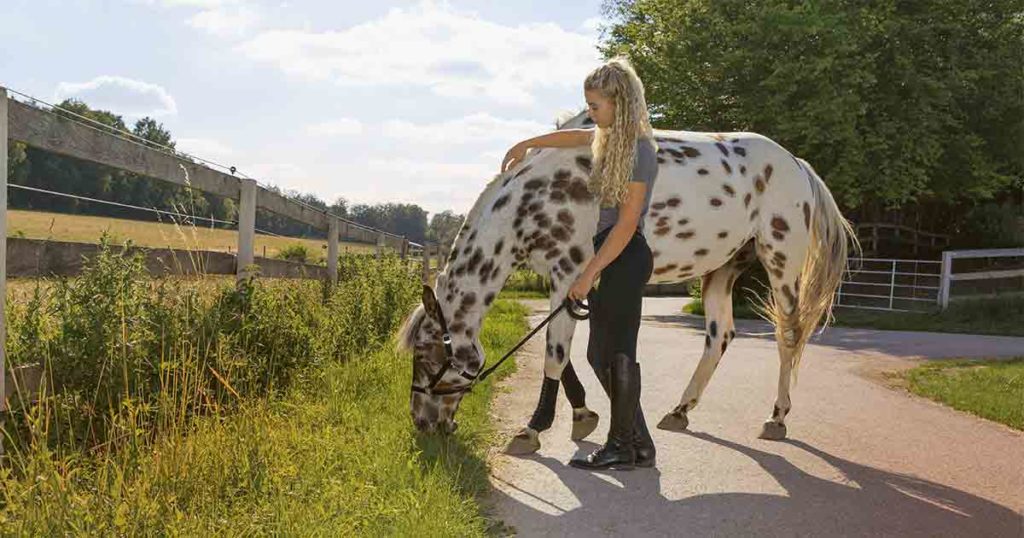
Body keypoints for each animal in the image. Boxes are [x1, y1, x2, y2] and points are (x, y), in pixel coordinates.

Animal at [397, 109, 856, 452]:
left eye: (426, 355)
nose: (422, 423)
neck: (539, 193)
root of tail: (797, 164)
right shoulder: (572, 285)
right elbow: (570, 355)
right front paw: (583, 415)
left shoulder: (569, 275)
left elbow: (555, 355)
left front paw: (533, 429)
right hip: (723, 268)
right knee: (719, 336)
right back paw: (680, 411)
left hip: (781, 263)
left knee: (788, 336)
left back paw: (776, 418)